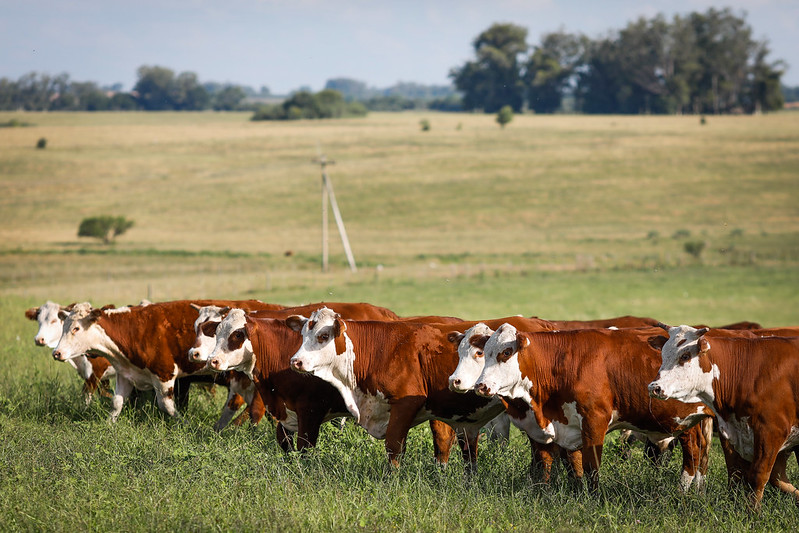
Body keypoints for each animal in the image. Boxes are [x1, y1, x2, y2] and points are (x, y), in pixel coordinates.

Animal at [52, 300, 278, 420]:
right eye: (64, 327)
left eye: (76, 328)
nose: (56, 353)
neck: (135, 329)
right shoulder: (126, 374)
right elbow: (116, 403)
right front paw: (109, 425)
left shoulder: (164, 374)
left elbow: (167, 406)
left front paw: (182, 422)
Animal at [476, 322, 712, 488]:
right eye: (484, 353)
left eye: (506, 352)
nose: (481, 386)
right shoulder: (549, 430)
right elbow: (553, 467)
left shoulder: (594, 421)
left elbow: (591, 468)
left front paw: (594, 499)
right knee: (700, 451)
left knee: (692, 453)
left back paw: (683, 490)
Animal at [648, 322, 799, 510]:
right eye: (663, 354)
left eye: (684, 355)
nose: (654, 387)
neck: (748, 372)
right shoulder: (729, 432)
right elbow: (737, 474)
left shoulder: (771, 432)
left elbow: (759, 477)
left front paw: (752, 513)